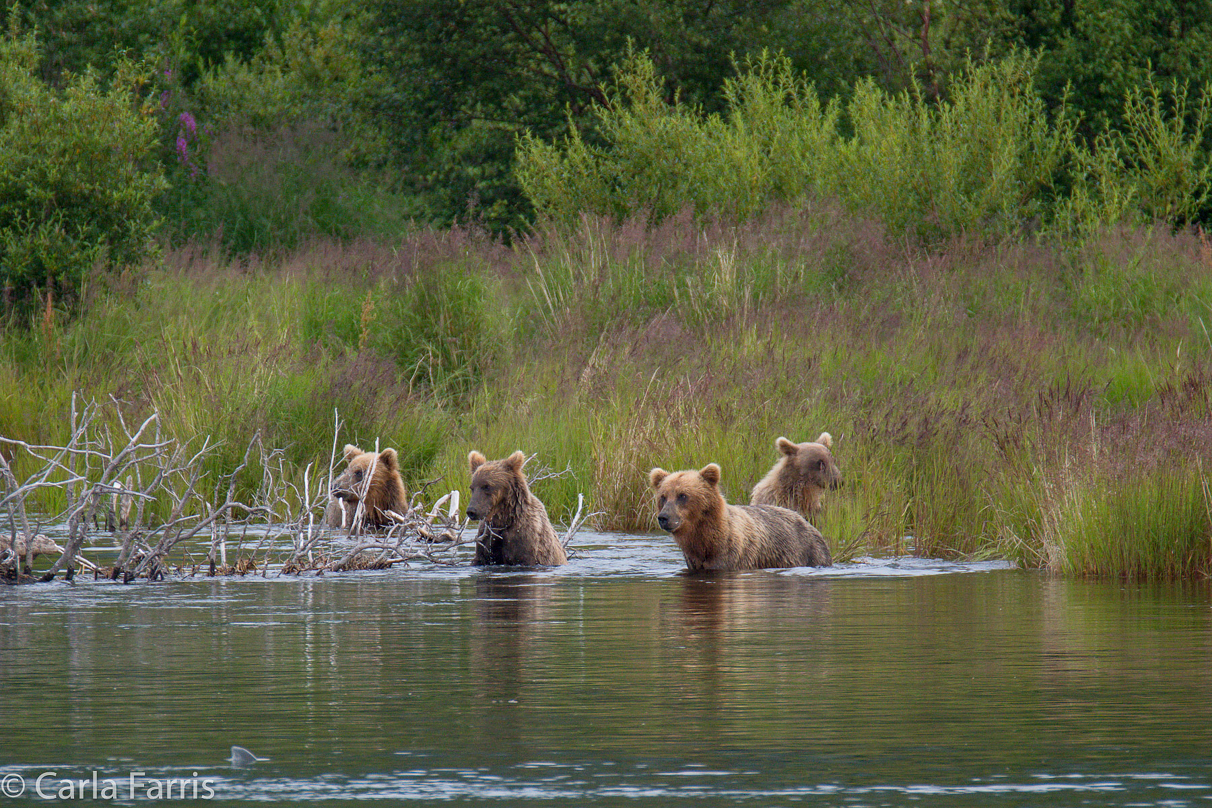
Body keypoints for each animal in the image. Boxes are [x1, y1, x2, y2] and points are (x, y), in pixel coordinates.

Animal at [654, 465, 833, 571]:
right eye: (663, 496)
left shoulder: (733, 555)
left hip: (809, 553)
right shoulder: (694, 560)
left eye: (682, 495)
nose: (664, 517)